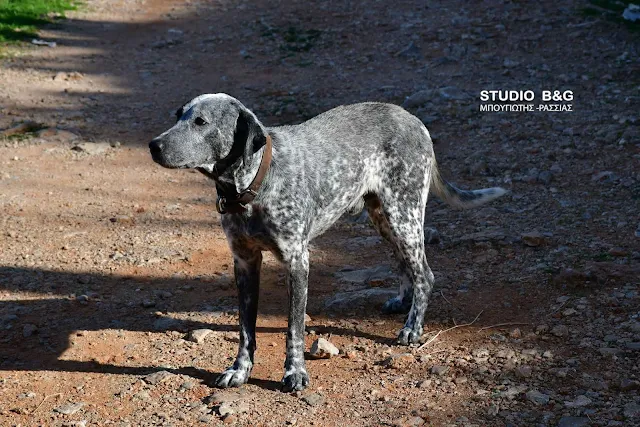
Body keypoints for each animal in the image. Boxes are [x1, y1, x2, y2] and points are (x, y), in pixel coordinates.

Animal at [149, 94, 504, 394]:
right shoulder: (245, 263)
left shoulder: (297, 263)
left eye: (201, 122)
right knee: (404, 265)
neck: (254, 184)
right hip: (384, 218)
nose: (153, 145)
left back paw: (412, 328)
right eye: (178, 115)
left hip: (404, 215)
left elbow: (294, 330)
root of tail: (413, 119)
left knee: (425, 275)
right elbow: (246, 330)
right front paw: (240, 370)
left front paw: (294, 374)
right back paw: (403, 301)